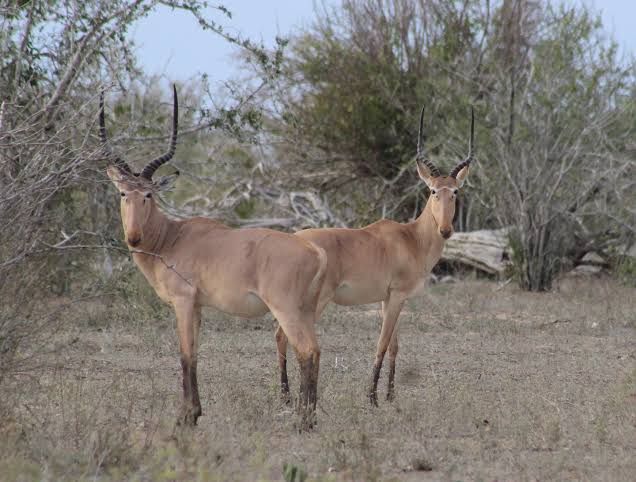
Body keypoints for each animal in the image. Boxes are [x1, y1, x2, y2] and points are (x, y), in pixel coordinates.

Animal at [100, 85, 328, 426]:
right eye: (124, 193)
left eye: (149, 194)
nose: (134, 237)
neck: (173, 237)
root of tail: (313, 250)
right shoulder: (197, 307)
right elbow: (195, 354)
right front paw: (194, 413)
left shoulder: (182, 303)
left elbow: (184, 354)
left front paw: (184, 417)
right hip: (306, 311)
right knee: (316, 350)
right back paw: (309, 419)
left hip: (287, 310)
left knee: (306, 351)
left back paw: (302, 421)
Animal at [276, 107, 474, 404]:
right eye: (433, 191)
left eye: (455, 191)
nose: (446, 229)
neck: (411, 238)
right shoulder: (397, 296)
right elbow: (381, 344)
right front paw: (372, 398)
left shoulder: (389, 299)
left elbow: (394, 346)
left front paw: (390, 396)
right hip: (316, 301)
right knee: (285, 336)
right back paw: (290, 397)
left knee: (282, 335)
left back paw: (286, 396)